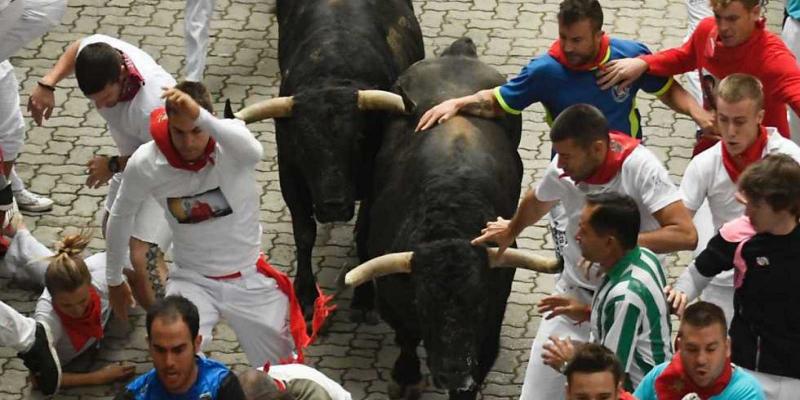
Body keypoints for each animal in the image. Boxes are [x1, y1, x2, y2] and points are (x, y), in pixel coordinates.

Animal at [228, 0, 424, 320]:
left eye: (359, 139)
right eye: (303, 144)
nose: (333, 206)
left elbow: (364, 233)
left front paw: (363, 297)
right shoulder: (290, 174)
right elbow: (304, 233)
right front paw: (306, 295)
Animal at [346, 38, 560, 400]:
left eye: (478, 302)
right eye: (423, 303)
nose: (454, 375)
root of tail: (459, 53)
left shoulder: (492, 314)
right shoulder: (393, 299)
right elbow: (406, 337)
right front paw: (406, 378)